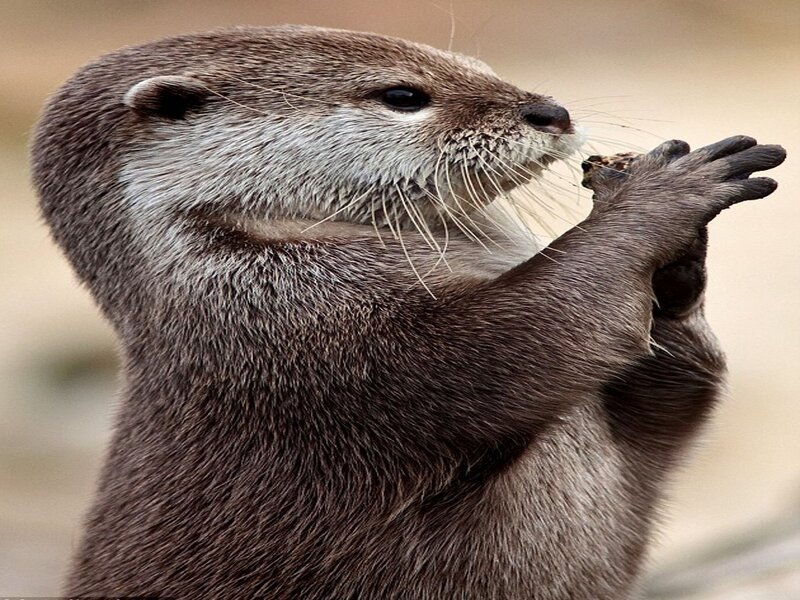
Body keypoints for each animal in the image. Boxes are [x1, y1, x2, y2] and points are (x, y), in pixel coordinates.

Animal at [31, 25, 785, 599]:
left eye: (481, 65)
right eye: (403, 96)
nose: (550, 110)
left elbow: (671, 402)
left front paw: (676, 253)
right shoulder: (317, 352)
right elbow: (522, 339)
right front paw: (659, 198)